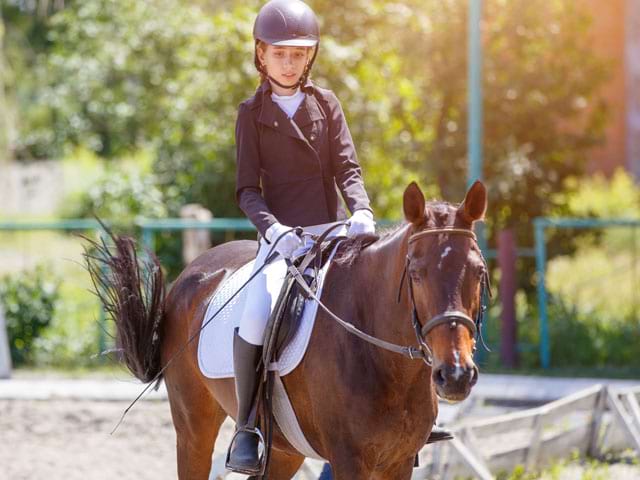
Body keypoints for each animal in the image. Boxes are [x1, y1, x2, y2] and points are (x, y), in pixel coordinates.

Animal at [91, 180, 490, 480]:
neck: (386, 362)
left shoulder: (399, 462)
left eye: (479, 271)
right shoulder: (348, 460)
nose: (455, 375)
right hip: (194, 429)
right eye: (417, 273)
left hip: (284, 451)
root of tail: (193, 271)